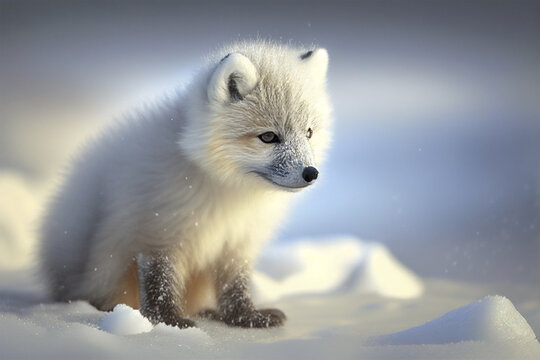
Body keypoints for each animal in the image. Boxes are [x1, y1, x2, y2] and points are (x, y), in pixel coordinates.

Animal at [40, 40, 332, 328]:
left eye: (308, 132)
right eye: (269, 137)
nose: (311, 173)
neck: (230, 196)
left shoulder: (236, 244)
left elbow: (235, 286)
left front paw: (245, 317)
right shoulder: (157, 233)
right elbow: (160, 283)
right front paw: (168, 321)